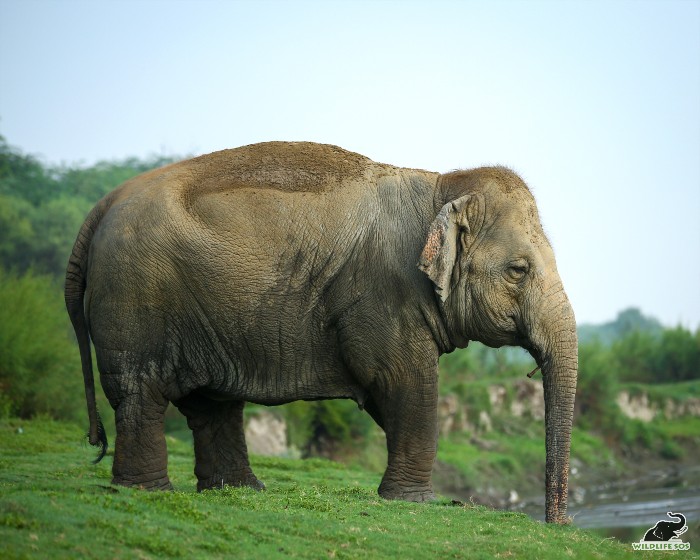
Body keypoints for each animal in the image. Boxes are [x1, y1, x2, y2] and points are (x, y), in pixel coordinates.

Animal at [65, 141, 576, 524]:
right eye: (518, 270)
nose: (558, 523)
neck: (442, 185)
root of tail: (100, 207)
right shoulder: (385, 292)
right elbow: (402, 380)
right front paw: (416, 503)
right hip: (136, 294)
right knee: (141, 391)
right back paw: (147, 492)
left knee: (210, 403)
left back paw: (241, 490)